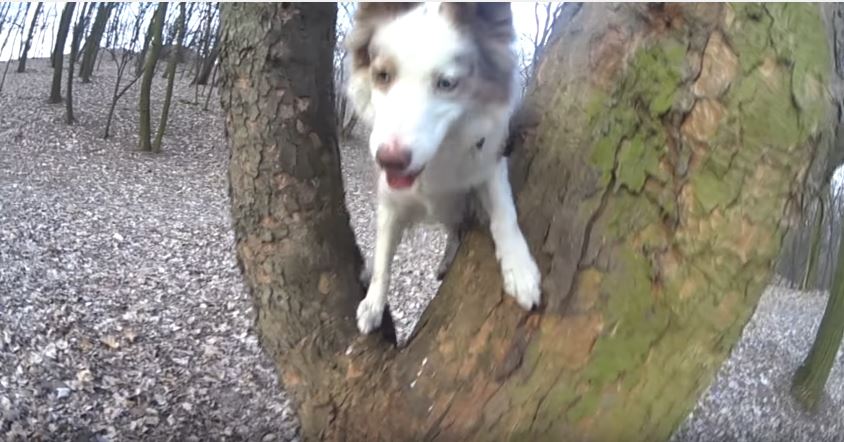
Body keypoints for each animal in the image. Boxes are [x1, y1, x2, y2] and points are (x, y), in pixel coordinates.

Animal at [344, 1, 536, 334]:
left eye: (446, 83)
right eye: (382, 75)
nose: (389, 160)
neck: (437, 157)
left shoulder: (489, 162)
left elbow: (504, 214)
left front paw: (521, 270)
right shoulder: (389, 202)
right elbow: (382, 258)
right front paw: (373, 304)